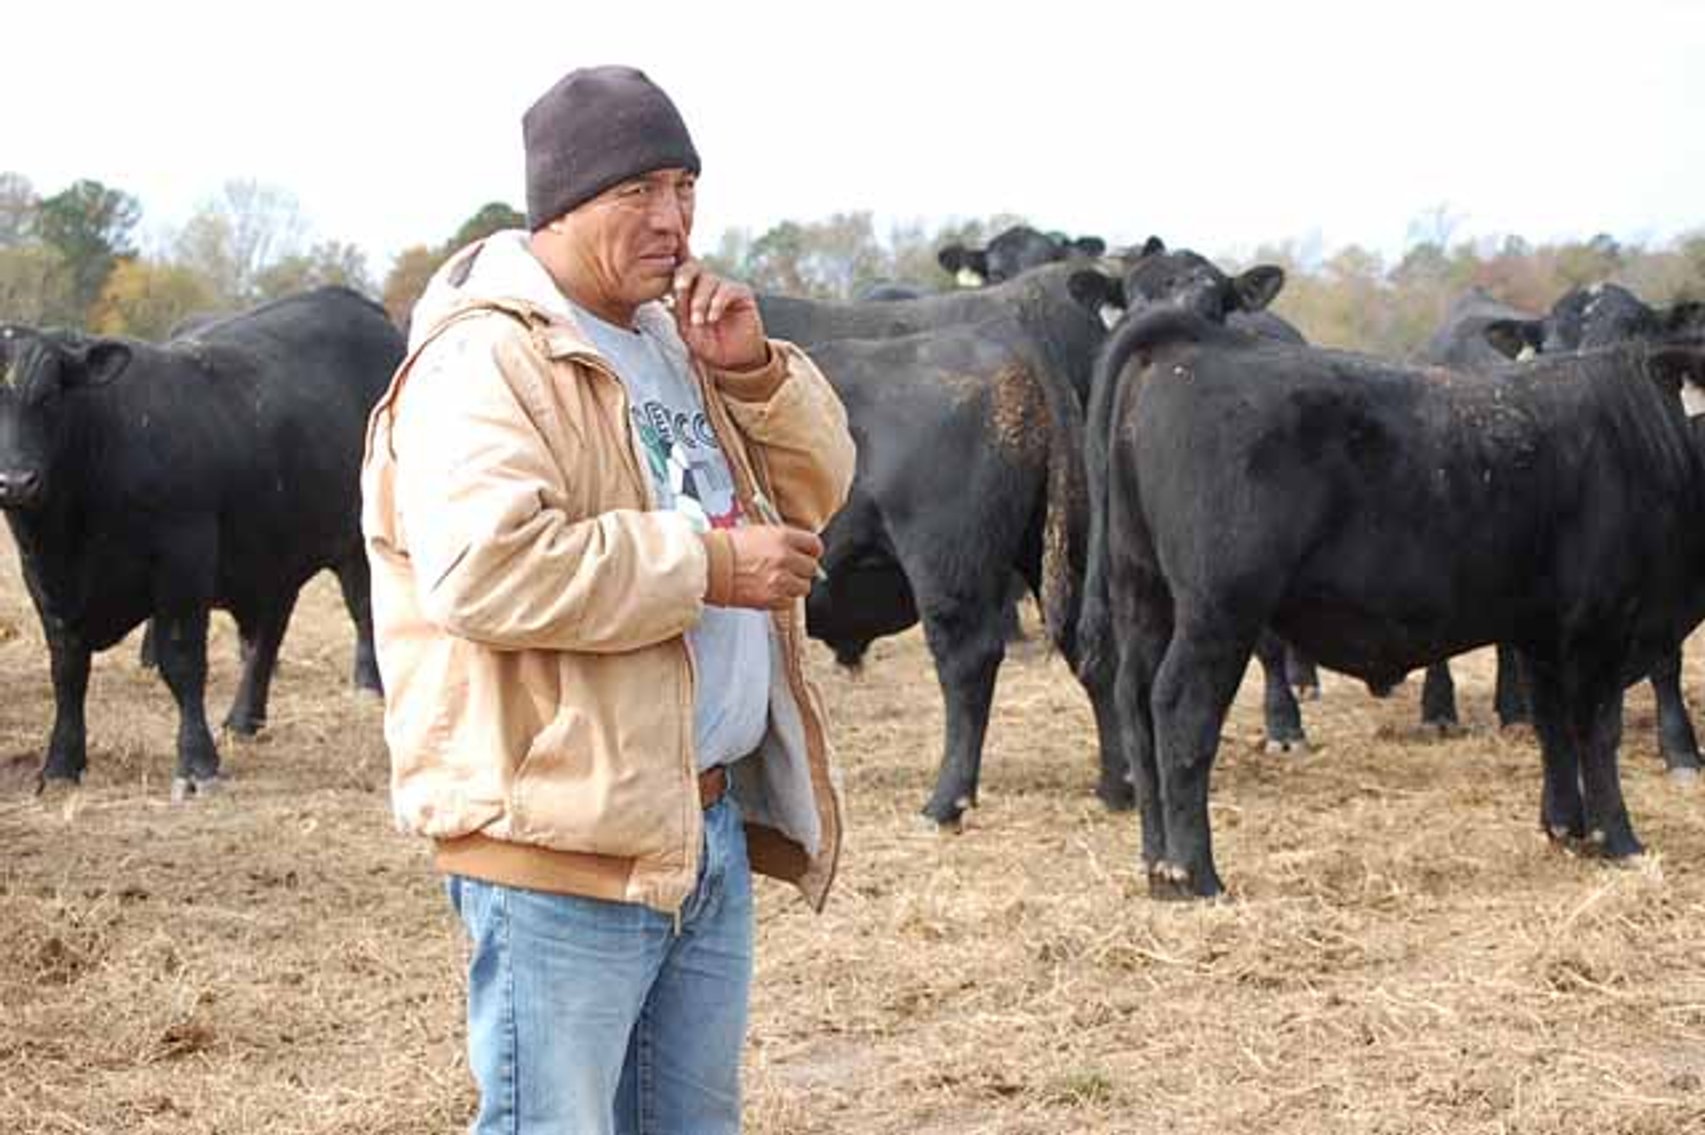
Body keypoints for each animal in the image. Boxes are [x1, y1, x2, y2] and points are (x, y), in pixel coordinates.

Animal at [0, 286, 403, 798]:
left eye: (50, 396)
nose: (15, 482)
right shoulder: (45, 580)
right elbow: (68, 671)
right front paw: (59, 765)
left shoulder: (183, 562)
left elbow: (182, 662)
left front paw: (197, 763)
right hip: (275, 545)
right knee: (269, 632)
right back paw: (244, 718)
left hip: (363, 537)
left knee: (365, 607)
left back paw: (372, 689)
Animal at [1077, 305, 1705, 899]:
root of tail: (1198, 340)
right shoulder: (1603, 625)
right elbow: (1597, 733)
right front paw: (1619, 841)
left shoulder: (1541, 632)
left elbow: (1553, 729)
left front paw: (1565, 828)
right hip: (1218, 611)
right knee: (1180, 712)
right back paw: (1197, 875)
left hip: (1143, 592)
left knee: (1136, 703)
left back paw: (1158, 867)